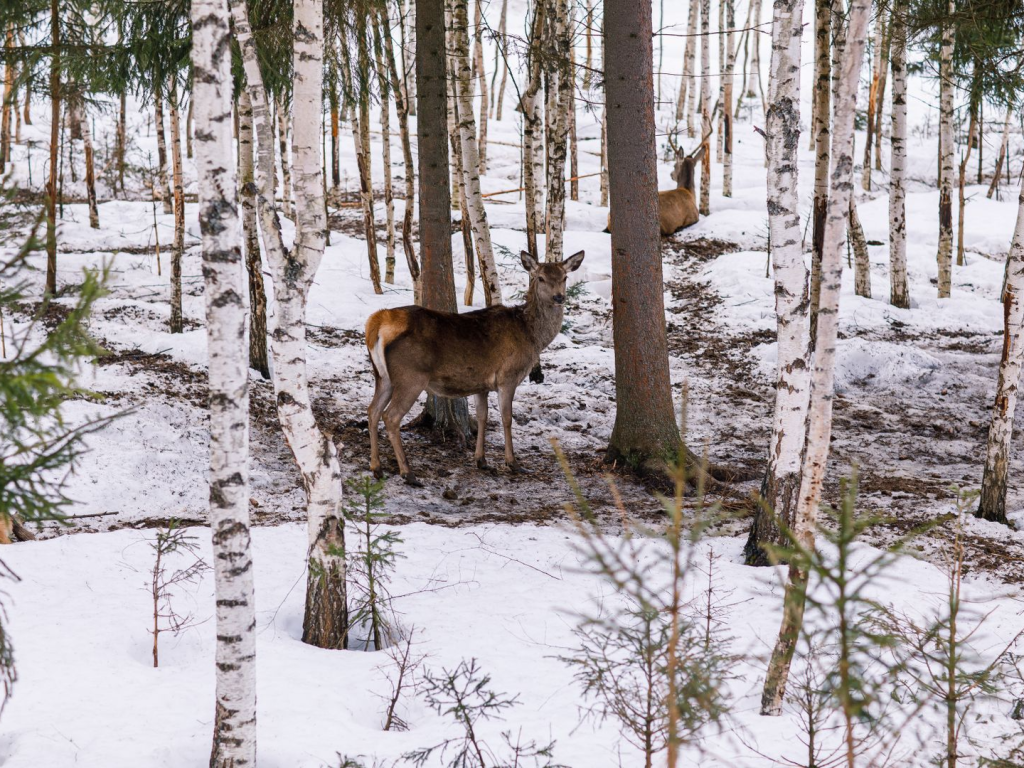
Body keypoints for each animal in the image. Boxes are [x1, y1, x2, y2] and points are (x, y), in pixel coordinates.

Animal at [366, 249, 585, 483]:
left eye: (565, 277)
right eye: (541, 278)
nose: (559, 297)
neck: (531, 336)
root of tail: (378, 322)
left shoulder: (481, 384)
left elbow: (483, 416)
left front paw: (481, 460)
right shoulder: (508, 376)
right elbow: (507, 418)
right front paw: (513, 463)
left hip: (383, 376)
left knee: (373, 411)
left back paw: (377, 468)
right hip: (411, 376)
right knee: (390, 416)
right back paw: (408, 473)